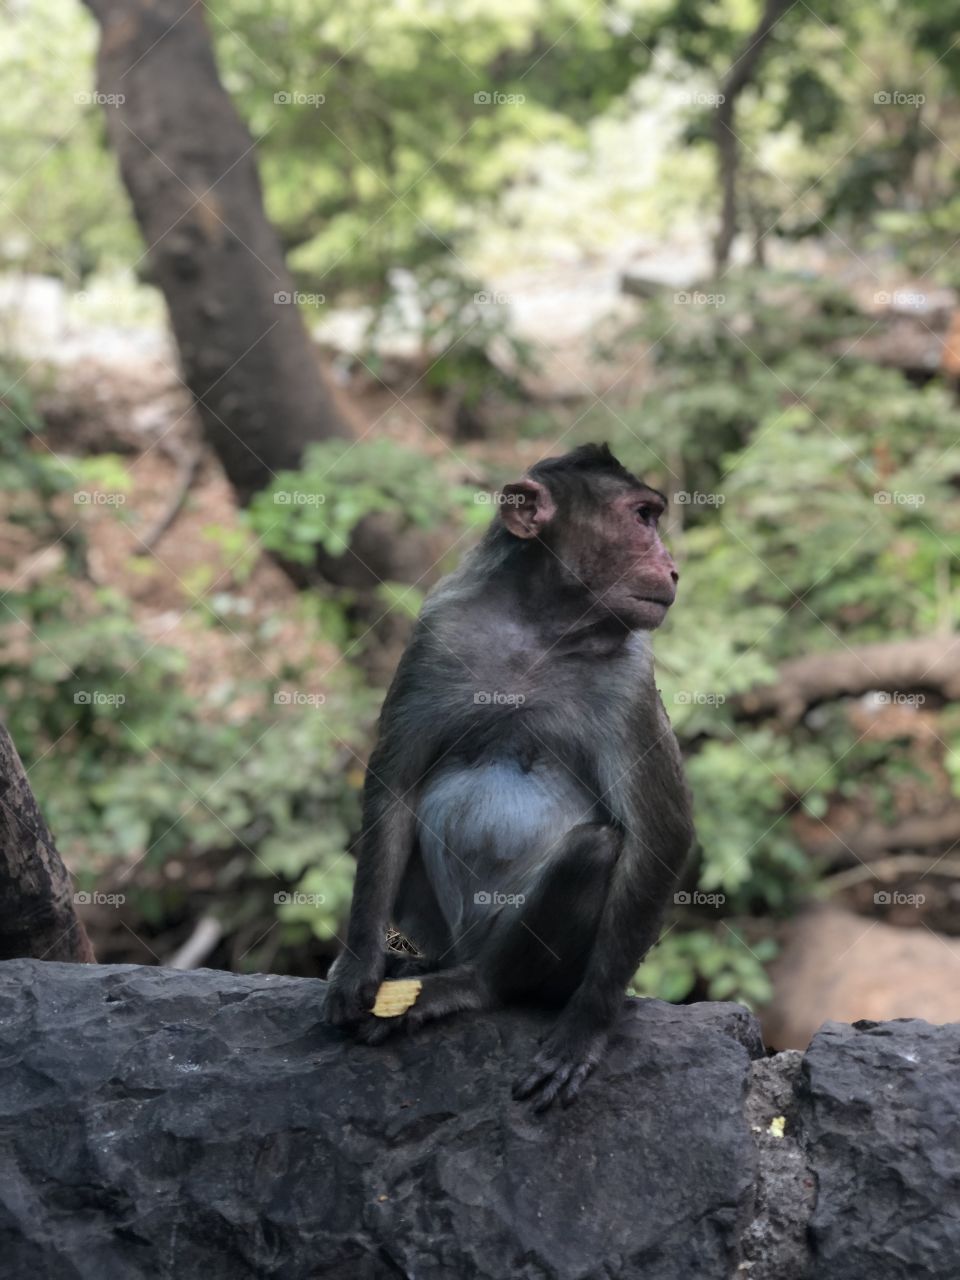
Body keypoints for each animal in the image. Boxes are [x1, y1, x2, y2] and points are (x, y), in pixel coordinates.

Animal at [325, 443, 694, 1110]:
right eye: (642, 518)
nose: (673, 568)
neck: (542, 626)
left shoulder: (629, 679)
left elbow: (660, 834)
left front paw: (584, 1030)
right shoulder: (437, 629)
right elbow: (395, 789)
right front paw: (358, 964)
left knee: (594, 852)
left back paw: (474, 986)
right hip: (439, 927)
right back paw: (423, 968)